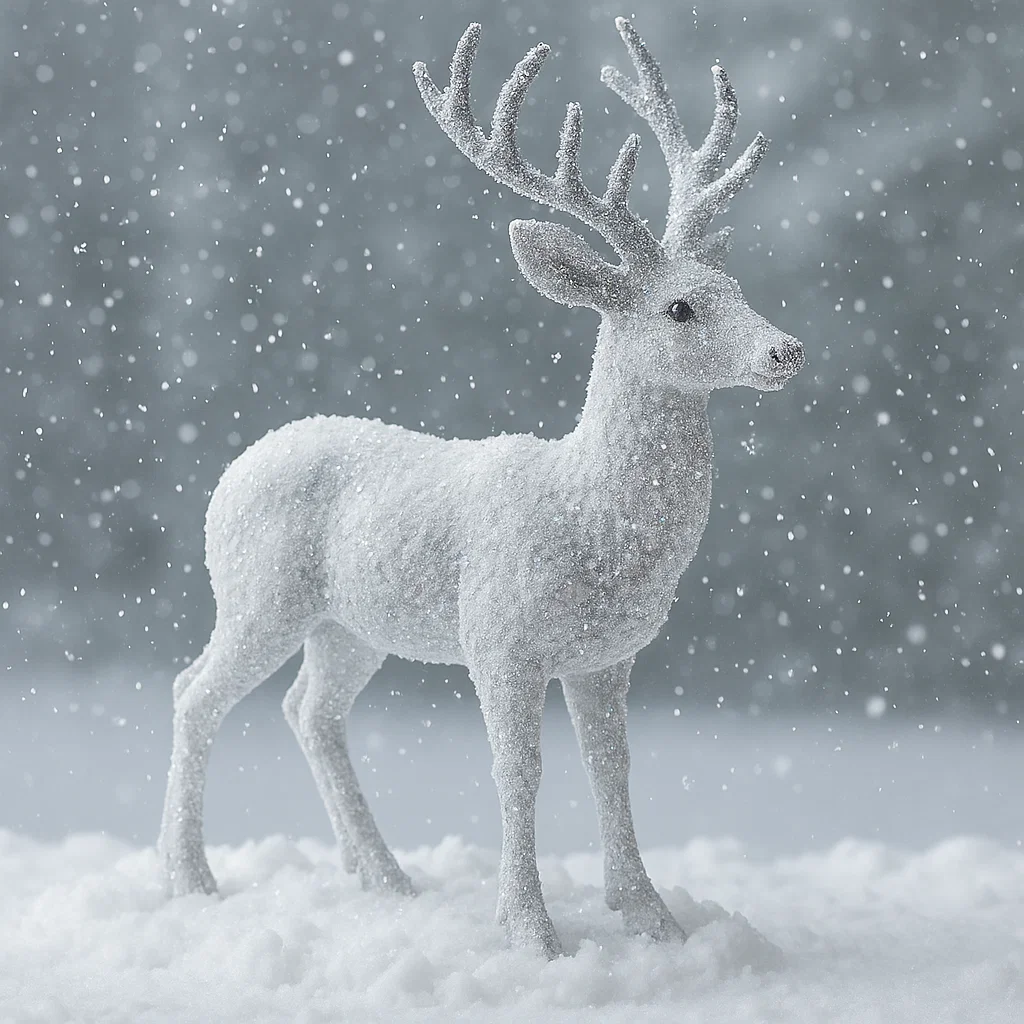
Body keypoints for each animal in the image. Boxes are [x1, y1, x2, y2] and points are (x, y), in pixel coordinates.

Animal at [158, 17, 803, 959]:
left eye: (737, 286)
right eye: (681, 307)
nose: (786, 349)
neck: (590, 512)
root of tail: (236, 467)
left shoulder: (608, 656)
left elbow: (613, 767)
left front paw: (653, 919)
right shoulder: (500, 638)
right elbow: (518, 770)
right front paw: (532, 931)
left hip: (350, 624)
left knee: (309, 711)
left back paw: (385, 877)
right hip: (257, 593)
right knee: (194, 693)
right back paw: (190, 879)